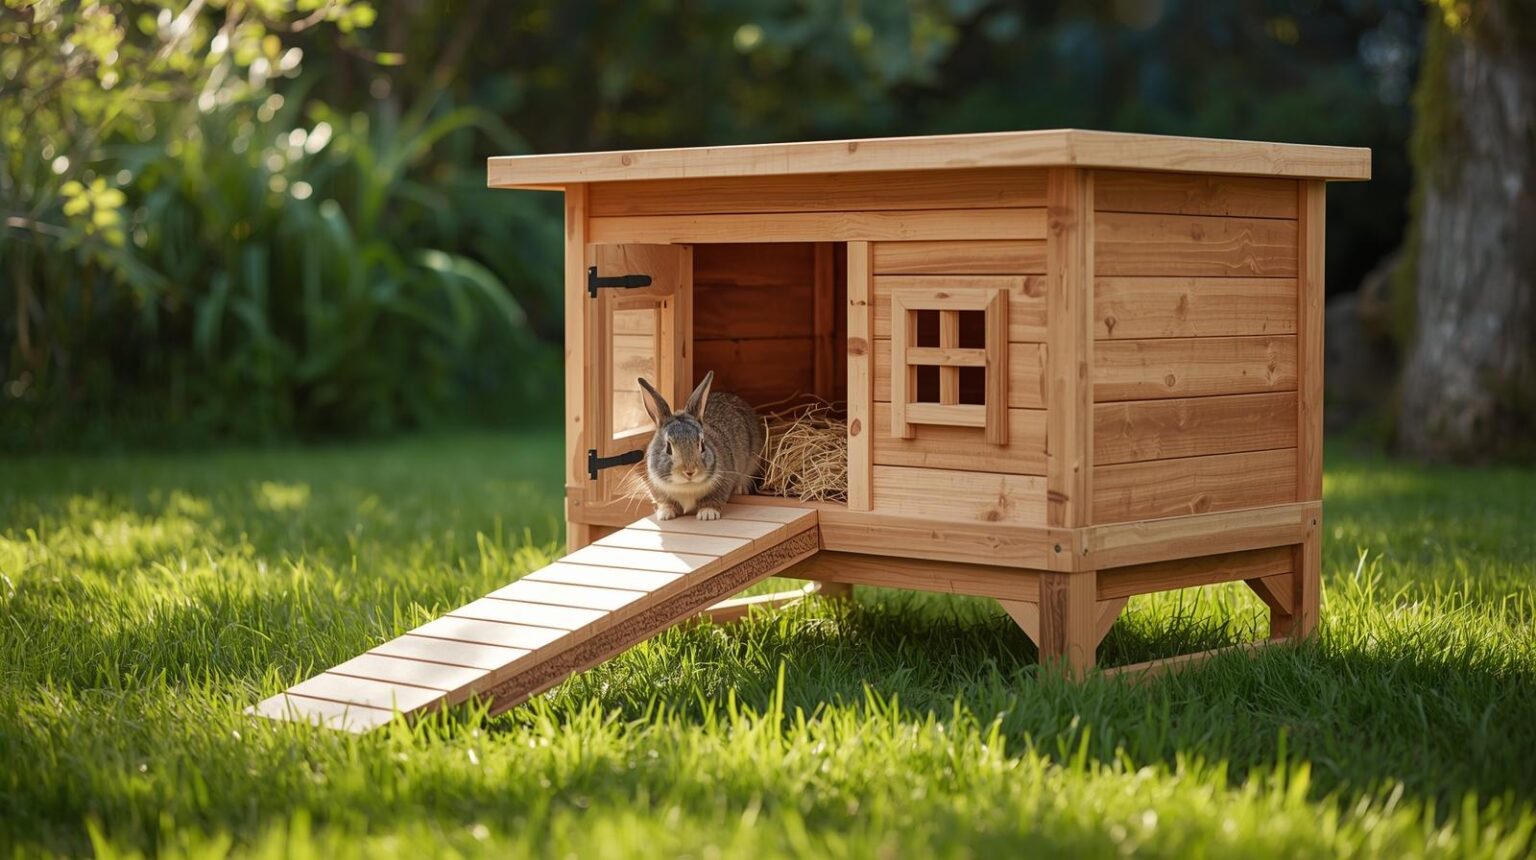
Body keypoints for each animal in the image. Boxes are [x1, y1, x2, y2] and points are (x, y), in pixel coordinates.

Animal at [637, 371, 762, 521]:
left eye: (702, 445)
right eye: (668, 448)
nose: (690, 471)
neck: (687, 486)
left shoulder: (724, 480)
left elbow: (714, 498)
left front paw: (707, 514)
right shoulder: (656, 487)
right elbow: (665, 502)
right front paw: (665, 514)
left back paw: (740, 489)